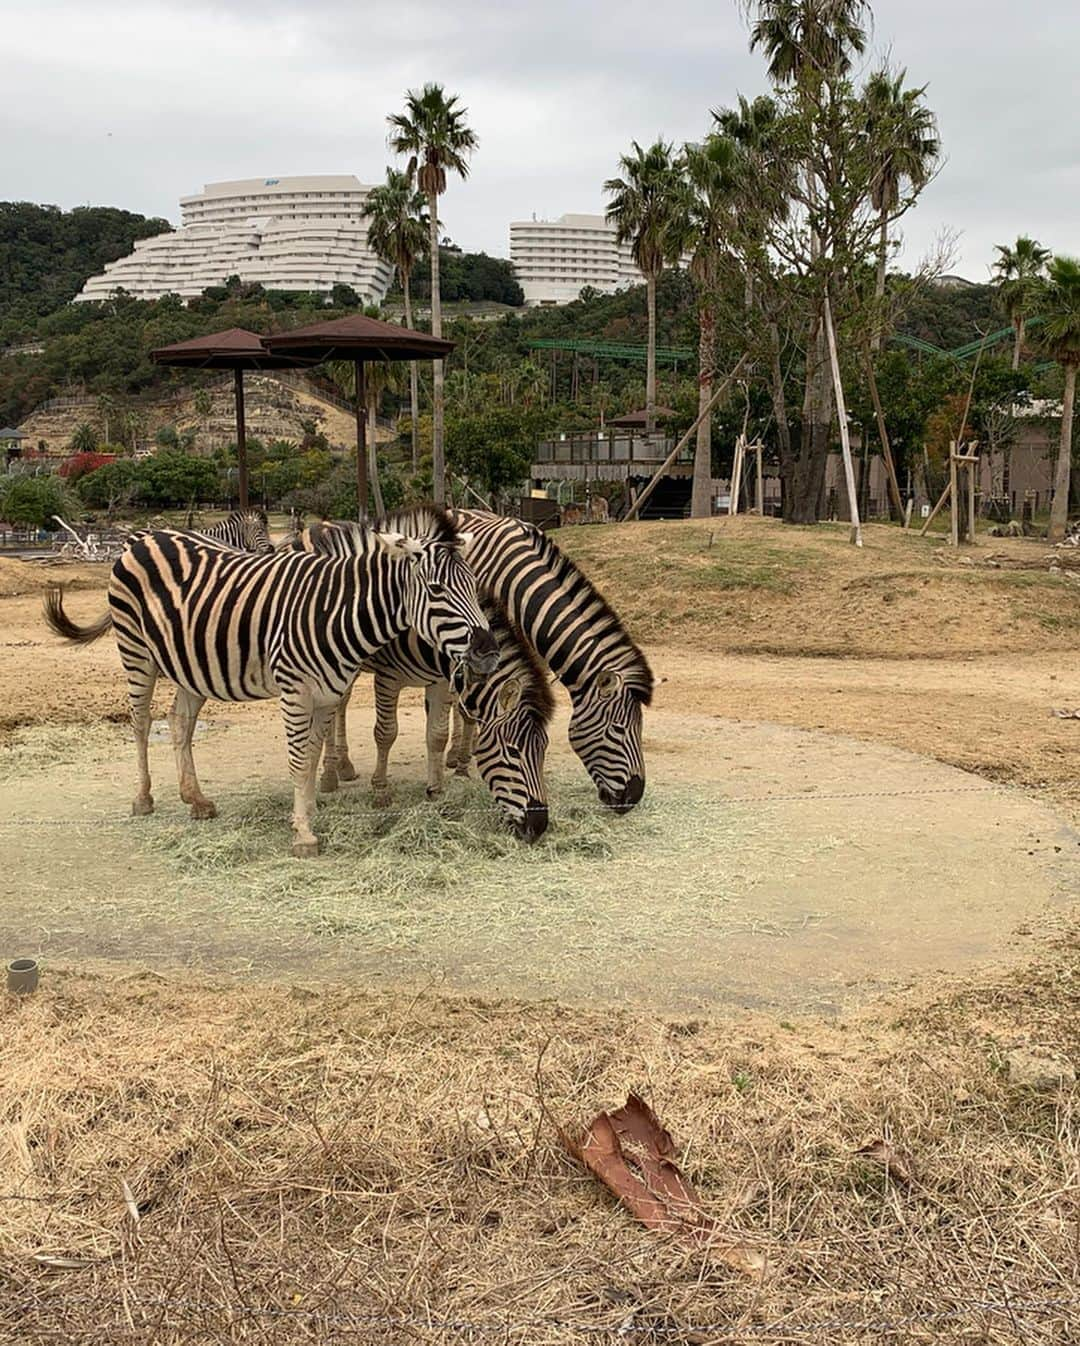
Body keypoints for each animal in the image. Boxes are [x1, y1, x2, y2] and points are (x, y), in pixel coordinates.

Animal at [41, 508, 495, 856]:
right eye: (436, 589)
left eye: (475, 586)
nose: (488, 650)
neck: (334, 609)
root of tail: (145, 538)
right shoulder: (296, 689)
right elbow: (297, 759)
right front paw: (304, 835)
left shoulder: (327, 693)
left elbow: (311, 757)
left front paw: (308, 813)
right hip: (136, 650)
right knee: (140, 723)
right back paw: (143, 798)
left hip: (191, 663)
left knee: (179, 721)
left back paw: (196, 800)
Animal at [292, 519, 552, 834]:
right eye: (513, 752)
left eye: (543, 749)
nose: (539, 824)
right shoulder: (388, 677)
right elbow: (386, 733)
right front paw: (380, 791)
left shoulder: (440, 682)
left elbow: (437, 735)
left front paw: (435, 789)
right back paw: (330, 774)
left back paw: (343, 767)